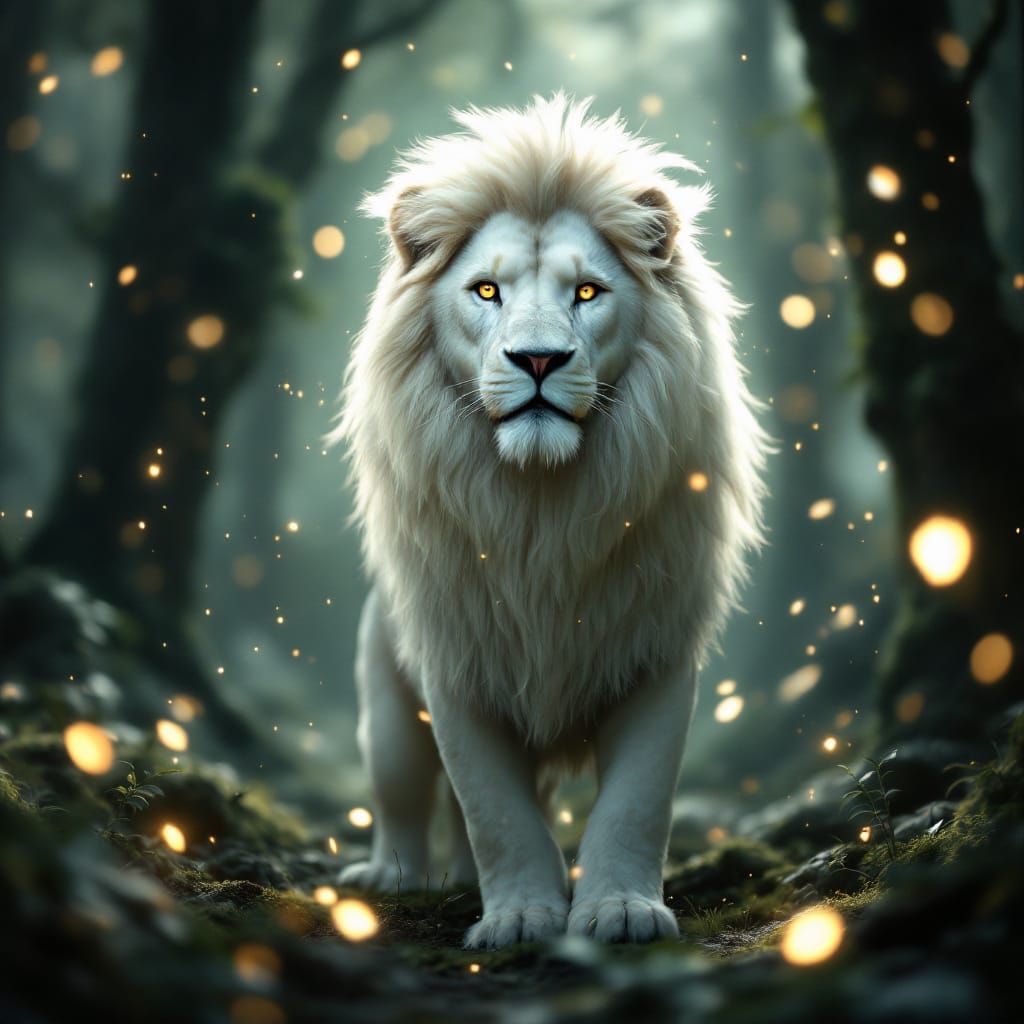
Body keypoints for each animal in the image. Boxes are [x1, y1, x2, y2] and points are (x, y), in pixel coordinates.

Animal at [331, 94, 768, 949]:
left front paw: (620, 911)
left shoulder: (655, 651)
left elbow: (636, 804)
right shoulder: (457, 663)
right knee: (403, 795)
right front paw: (523, 917)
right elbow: (494, 812)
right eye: (486, 292)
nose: (538, 360)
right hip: (386, 698)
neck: (543, 509)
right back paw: (395, 877)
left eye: (588, 293)